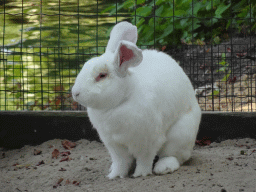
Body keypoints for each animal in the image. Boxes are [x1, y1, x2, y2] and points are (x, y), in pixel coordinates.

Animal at [71, 21, 201, 178]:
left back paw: (164, 167)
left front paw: (140, 174)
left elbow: (144, 160)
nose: (75, 93)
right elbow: (121, 162)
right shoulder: (114, 145)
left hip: (180, 135)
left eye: (102, 75)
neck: (121, 101)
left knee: (174, 156)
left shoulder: (148, 141)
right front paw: (115, 175)